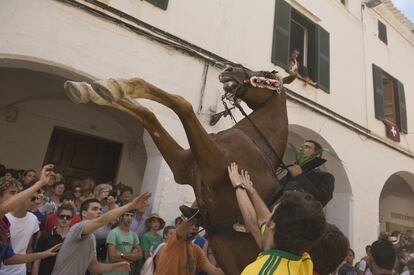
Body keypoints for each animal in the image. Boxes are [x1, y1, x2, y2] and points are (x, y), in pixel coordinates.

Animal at [63, 66, 292, 274]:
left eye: (267, 74)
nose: (230, 69)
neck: (257, 145)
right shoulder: (184, 167)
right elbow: (148, 113)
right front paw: (92, 89)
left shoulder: (215, 164)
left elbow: (183, 104)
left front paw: (108, 87)